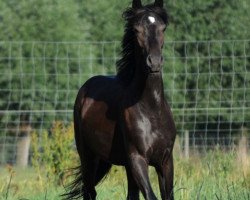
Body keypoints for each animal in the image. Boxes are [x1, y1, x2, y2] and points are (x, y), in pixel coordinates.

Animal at [65, 0, 178, 200]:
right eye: (136, 29)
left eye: (163, 28)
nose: (154, 62)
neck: (151, 110)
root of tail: (85, 87)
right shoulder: (138, 159)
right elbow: (151, 196)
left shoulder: (165, 161)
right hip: (88, 156)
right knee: (89, 191)